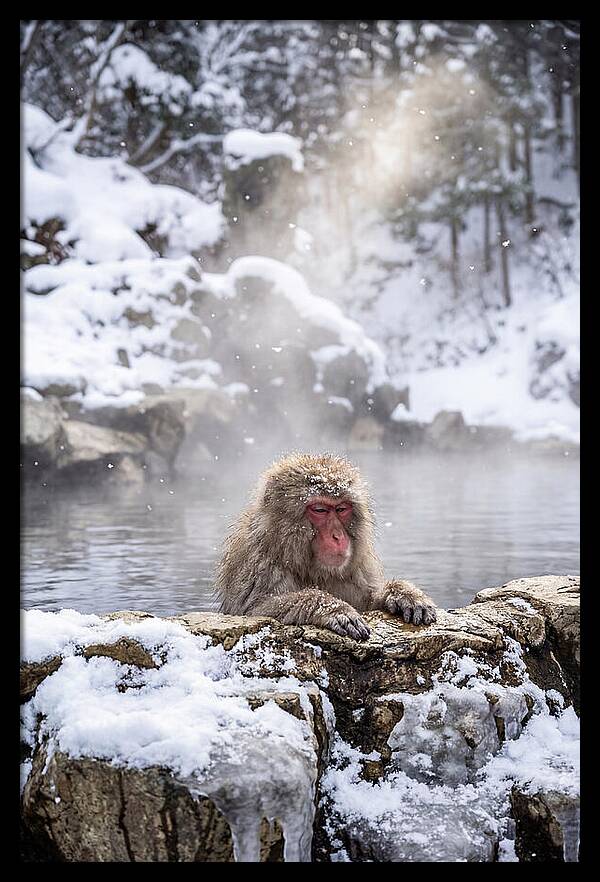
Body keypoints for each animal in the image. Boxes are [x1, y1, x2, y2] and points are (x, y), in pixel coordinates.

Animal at [215, 452, 437, 641]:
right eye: (320, 510)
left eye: (341, 509)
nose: (337, 536)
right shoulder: (258, 564)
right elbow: (255, 610)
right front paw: (332, 608)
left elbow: (368, 601)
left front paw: (403, 594)